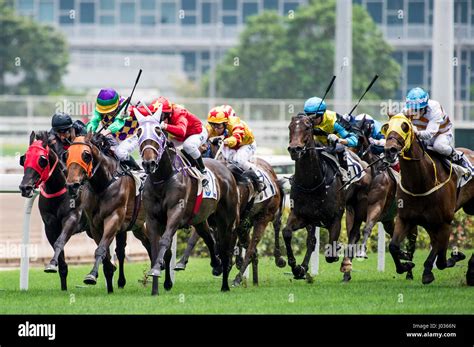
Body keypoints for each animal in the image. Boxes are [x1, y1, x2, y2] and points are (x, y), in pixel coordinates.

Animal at [65, 133, 151, 294]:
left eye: (86, 155)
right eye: (66, 154)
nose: (72, 185)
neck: (103, 184)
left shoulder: (114, 218)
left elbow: (101, 249)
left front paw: (91, 276)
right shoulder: (94, 225)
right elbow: (105, 252)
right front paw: (109, 271)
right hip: (136, 225)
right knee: (143, 244)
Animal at [136, 108, 241, 294]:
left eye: (158, 131)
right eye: (138, 132)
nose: (149, 163)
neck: (163, 178)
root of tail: (226, 169)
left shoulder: (176, 211)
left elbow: (165, 241)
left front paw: (157, 271)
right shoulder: (153, 218)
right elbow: (157, 248)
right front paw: (157, 285)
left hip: (226, 221)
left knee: (225, 248)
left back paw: (225, 285)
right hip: (201, 220)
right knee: (209, 239)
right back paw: (216, 264)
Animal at [384, 114, 472, 286]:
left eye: (405, 127)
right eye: (387, 126)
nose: (390, 150)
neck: (420, 183)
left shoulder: (445, 222)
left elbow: (440, 257)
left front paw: (428, 272)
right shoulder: (405, 219)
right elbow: (393, 246)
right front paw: (406, 265)